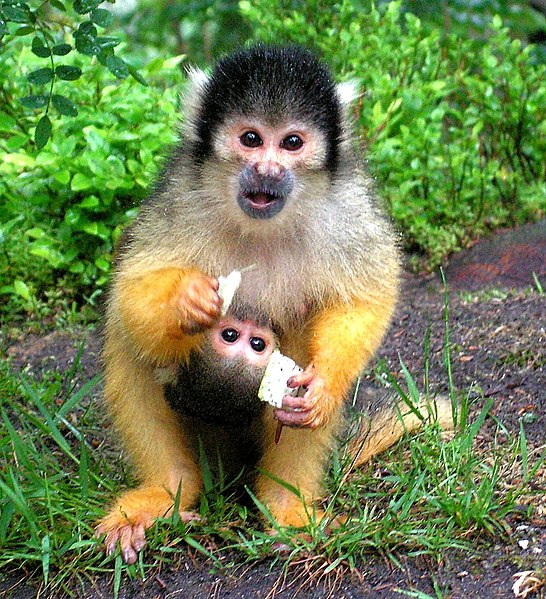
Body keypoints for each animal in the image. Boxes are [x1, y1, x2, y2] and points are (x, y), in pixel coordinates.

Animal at [96, 44, 446, 564]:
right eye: (251, 139)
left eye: (292, 143)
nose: (267, 170)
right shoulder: (181, 194)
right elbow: (130, 292)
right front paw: (187, 299)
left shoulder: (349, 204)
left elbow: (366, 295)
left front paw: (325, 384)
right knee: (130, 343)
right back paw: (166, 491)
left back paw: (286, 506)